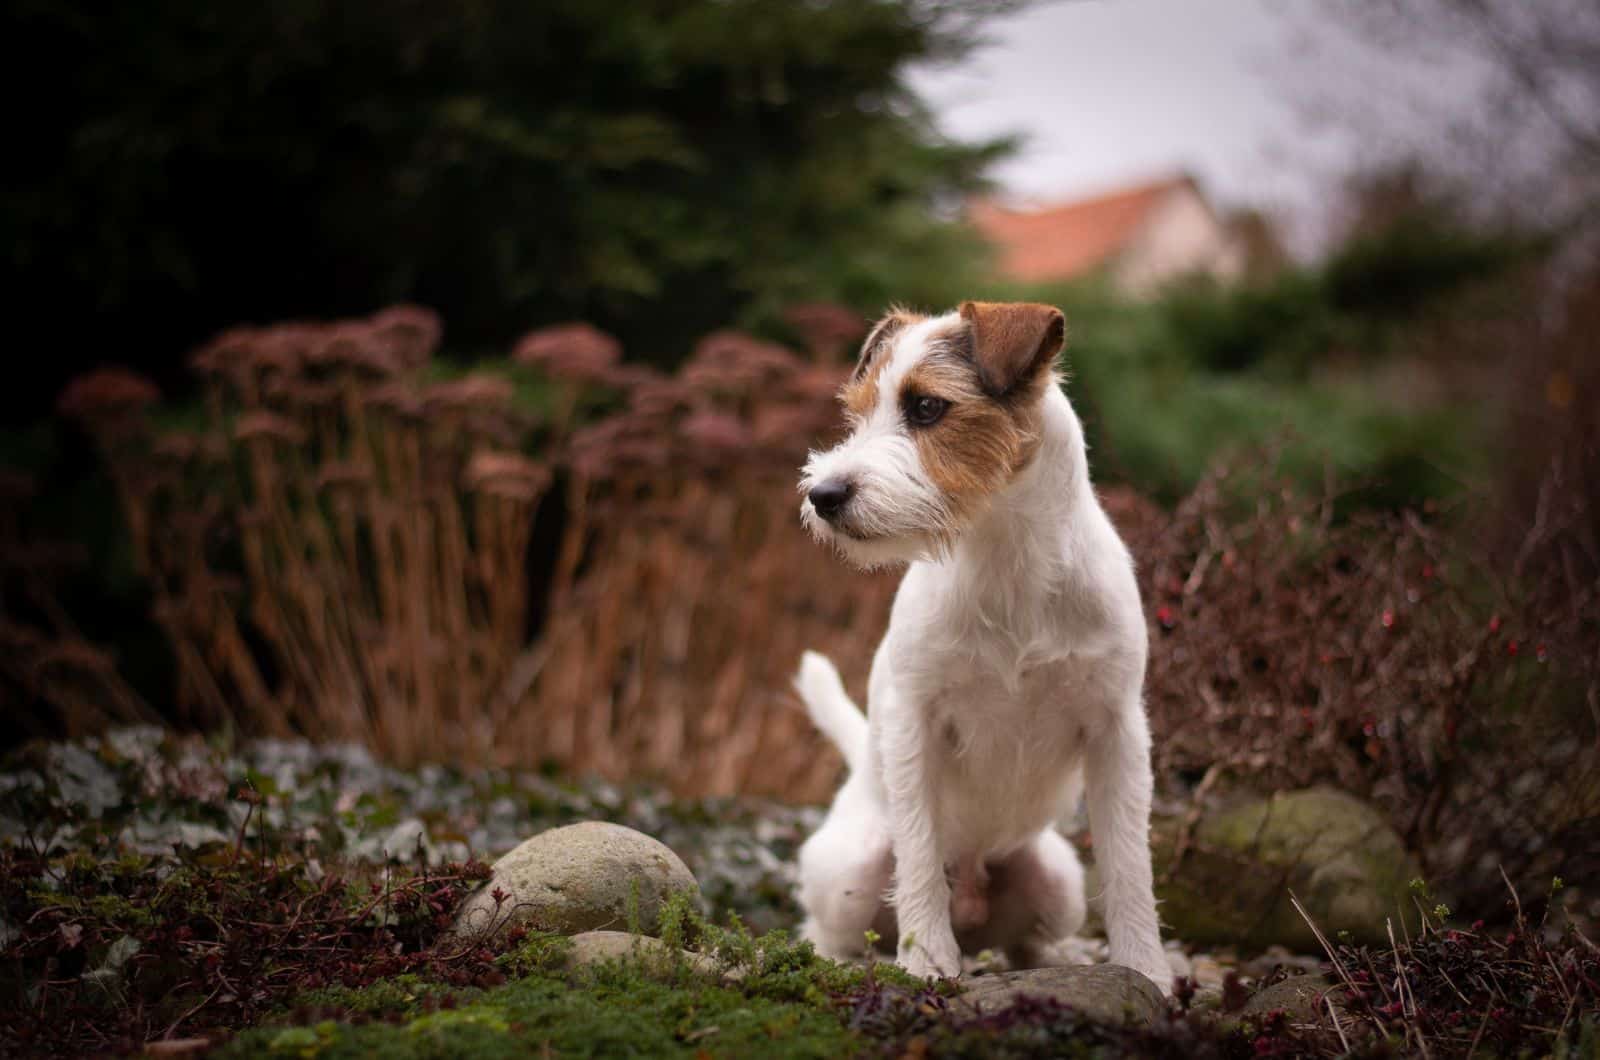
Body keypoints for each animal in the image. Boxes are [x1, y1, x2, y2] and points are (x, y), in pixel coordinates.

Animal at [793, 299, 1171, 986]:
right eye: (858, 412)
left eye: (926, 407)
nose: (822, 495)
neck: (1005, 559)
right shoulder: (915, 721)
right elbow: (918, 849)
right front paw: (925, 961)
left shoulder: (1118, 730)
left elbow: (1130, 861)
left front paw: (1144, 971)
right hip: (849, 873)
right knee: (834, 925)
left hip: (1058, 882)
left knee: (1028, 938)